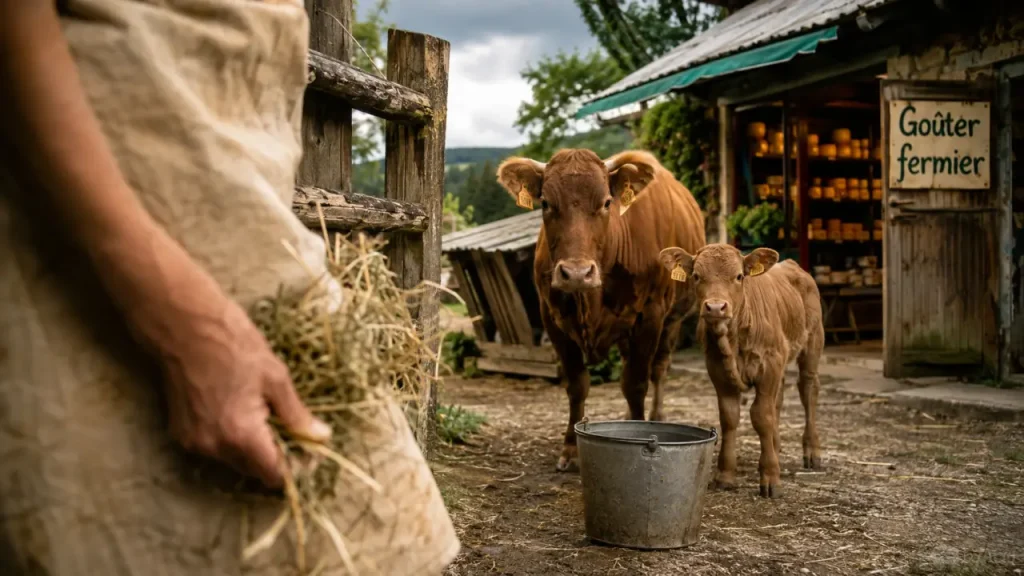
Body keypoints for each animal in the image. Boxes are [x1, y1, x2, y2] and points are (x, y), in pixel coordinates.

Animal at [496, 149, 705, 471]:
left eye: (607, 202)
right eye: (545, 203)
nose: (577, 273)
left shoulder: (651, 315)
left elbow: (636, 383)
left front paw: (640, 431)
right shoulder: (552, 318)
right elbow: (577, 385)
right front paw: (571, 449)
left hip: (673, 319)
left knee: (659, 368)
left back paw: (655, 415)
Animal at [657, 243, 823, 498]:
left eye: (738, 276)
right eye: (696, 276)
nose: (716, 307)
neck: (732, 340)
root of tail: (793, 266)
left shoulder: (769, 363)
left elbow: (761, 416)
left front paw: (770, 478)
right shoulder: (717, 368)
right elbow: (729, 416)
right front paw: (725, 476)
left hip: (812, 342)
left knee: (808, 390)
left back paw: (812, 452)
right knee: (778, 400)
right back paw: (776, 446)